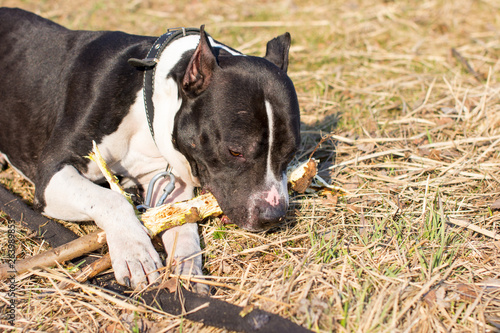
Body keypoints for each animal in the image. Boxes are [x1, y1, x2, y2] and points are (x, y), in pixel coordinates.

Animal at [0, 7, 300, 288]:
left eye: (292, 153)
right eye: (235, 151)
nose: (274, 215)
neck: (148, 100)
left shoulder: (167, 183)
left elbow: (181, 222)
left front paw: (187, 266)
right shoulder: (52, 174)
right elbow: (111, 200)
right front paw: (135, 252)